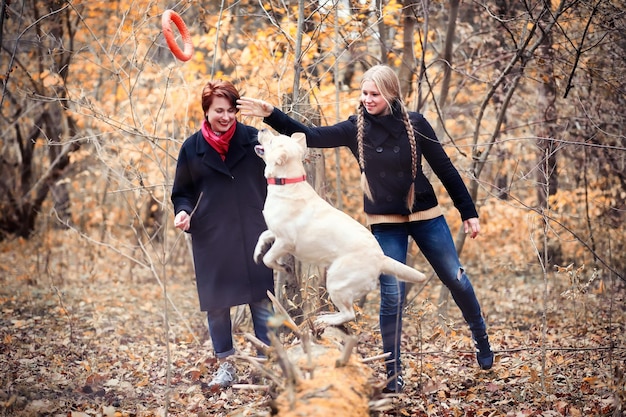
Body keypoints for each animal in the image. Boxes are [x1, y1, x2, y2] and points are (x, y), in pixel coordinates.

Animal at [252, 130, 424, 324]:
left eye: (272, 141)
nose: (262, 130)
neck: (288, 181)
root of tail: (381, 258)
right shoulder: (275, 232)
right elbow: (262, 236)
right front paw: (257, 252)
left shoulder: (285, 241)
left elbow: (268, 259)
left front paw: (282, 267)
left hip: (336, 282)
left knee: (349, 314)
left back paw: (328, 319)